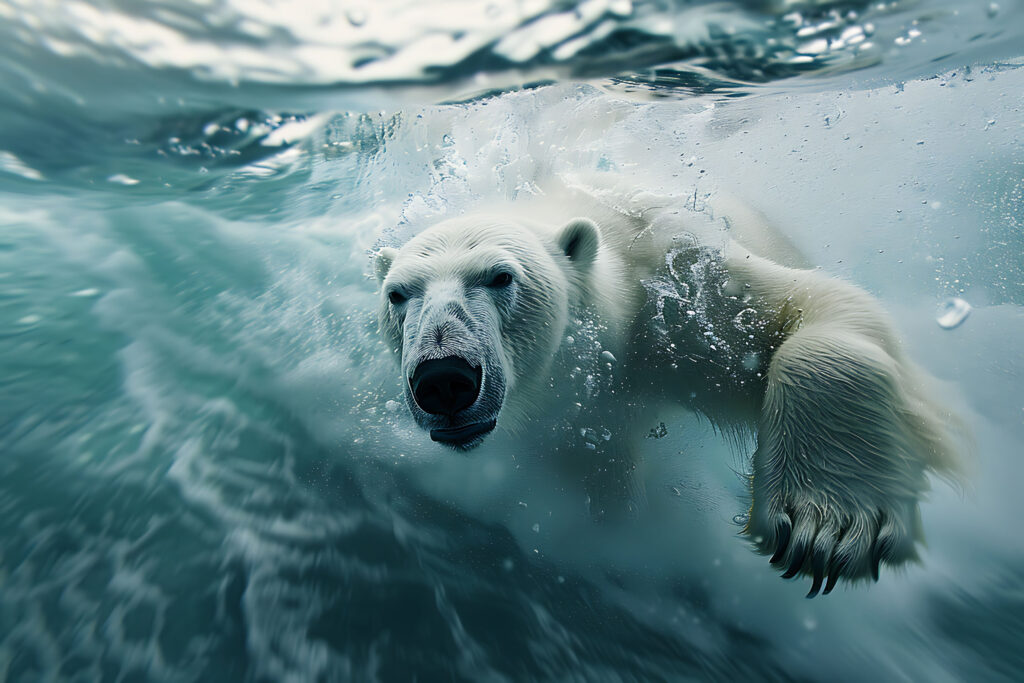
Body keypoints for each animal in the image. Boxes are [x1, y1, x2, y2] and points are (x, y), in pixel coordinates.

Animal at [372, 180, 962, 598]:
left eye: (500, 277)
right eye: (398, 293)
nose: (443, 380)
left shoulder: (680, 292)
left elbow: (814, 308)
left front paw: (826, 526)